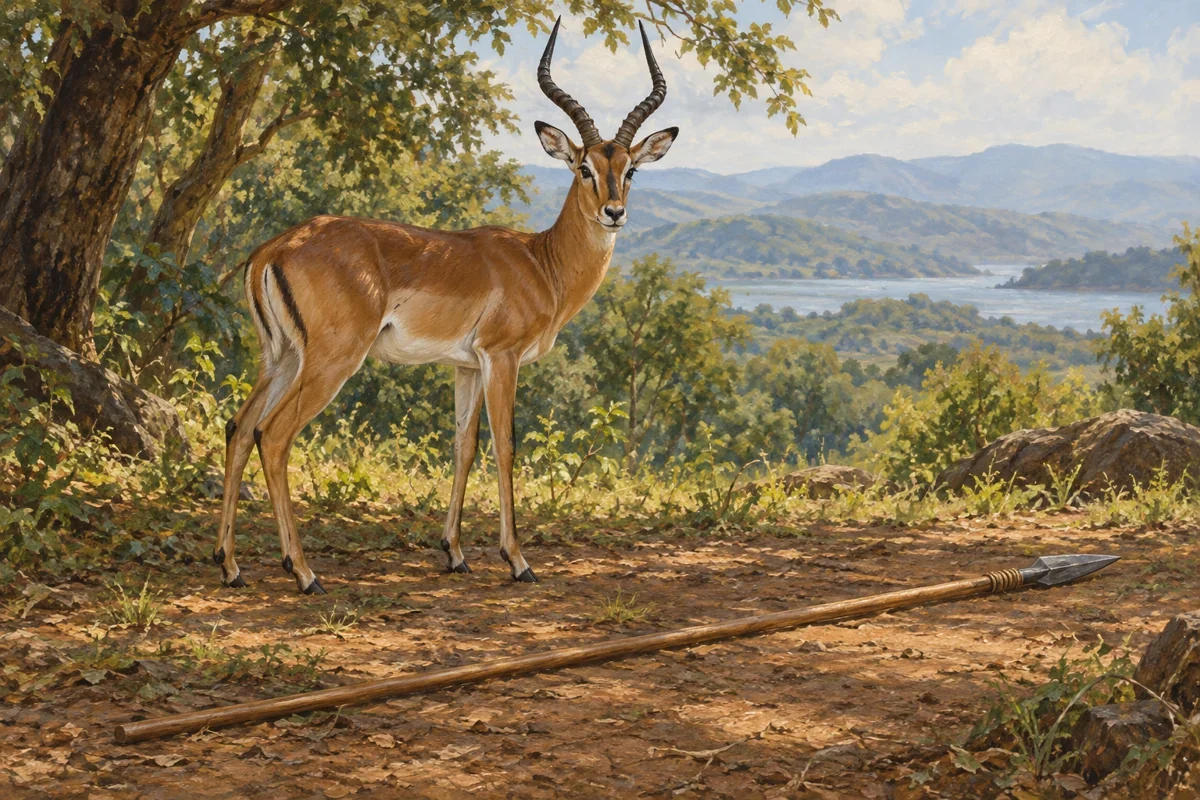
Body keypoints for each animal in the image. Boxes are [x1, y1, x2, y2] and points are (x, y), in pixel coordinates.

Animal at [213, 19, 678, 593]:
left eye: (630, 169)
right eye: (583, 168)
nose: (614, 212)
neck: (541, 262)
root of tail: (274, 248)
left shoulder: (466, 366)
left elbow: (464, 445)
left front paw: (454, 553)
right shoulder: (501, 358)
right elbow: (505, 446)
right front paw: (517, 560)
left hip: (281, 357)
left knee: (238, 428)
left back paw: (230, 566)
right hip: (330, 361)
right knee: (272, 437)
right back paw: (303, 572)